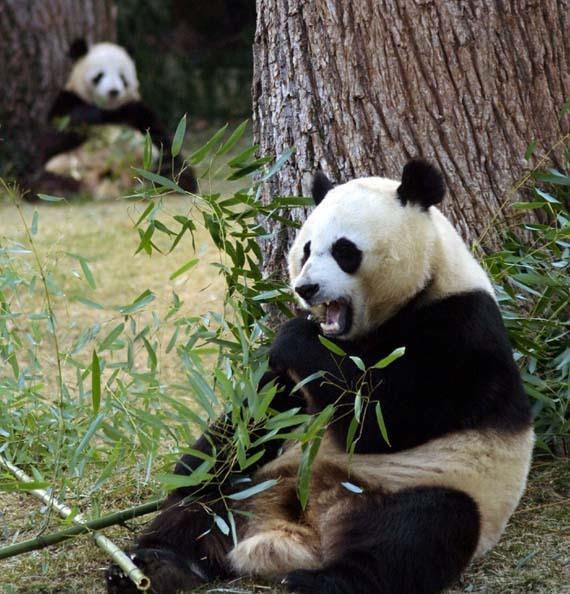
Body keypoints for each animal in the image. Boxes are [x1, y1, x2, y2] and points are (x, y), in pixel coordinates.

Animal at [36, 39, 195, 197]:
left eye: (122, 77)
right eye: (99, 75)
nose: (113, 91)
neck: (110, 111)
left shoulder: (140, 112)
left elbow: (162, 141)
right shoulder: (66, 100)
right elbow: (50, 139)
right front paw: (91, 116)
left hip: (146, 167)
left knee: (167, 169)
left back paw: (176, 185)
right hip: (68, 170)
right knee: (44, 179)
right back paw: (58, 189)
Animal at [104, 158, 532, 592]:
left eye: (344, 250)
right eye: (307, 248)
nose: (306, 288)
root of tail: (300, 528)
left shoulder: (459, 327)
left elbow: (386, 418)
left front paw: (293, 337)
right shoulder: (293, 388)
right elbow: (255, 415)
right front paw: (193, 466)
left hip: (425, 483)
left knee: (417, 531)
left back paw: (319, 583)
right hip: (252, 484)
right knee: (202, 512)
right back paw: (152, 565)